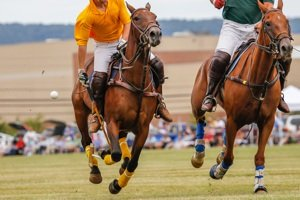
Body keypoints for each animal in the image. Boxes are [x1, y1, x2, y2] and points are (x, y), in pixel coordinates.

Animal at [72, 2, 163, 194]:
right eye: (136, 18)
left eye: (155, 17)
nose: (155, 34)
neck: (136, 82)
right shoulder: (112, 121)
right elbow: (114, 154)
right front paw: (106, 155)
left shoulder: (143, 128)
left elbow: (133, 162)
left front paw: (117, 184)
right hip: (79, 111)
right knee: (86, 140)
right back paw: (95, 171)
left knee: (121, 142)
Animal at [191, 0, 292, 194]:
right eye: (268, 23)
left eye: (287, 21)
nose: (287, 48)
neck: (258, 78)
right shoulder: (233, 119)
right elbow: (229, 157)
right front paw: (217, 171)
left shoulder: (267, 120)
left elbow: (259, 156)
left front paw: (259, 185)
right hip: (197, 101)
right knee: (200, 118)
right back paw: (198, 155)